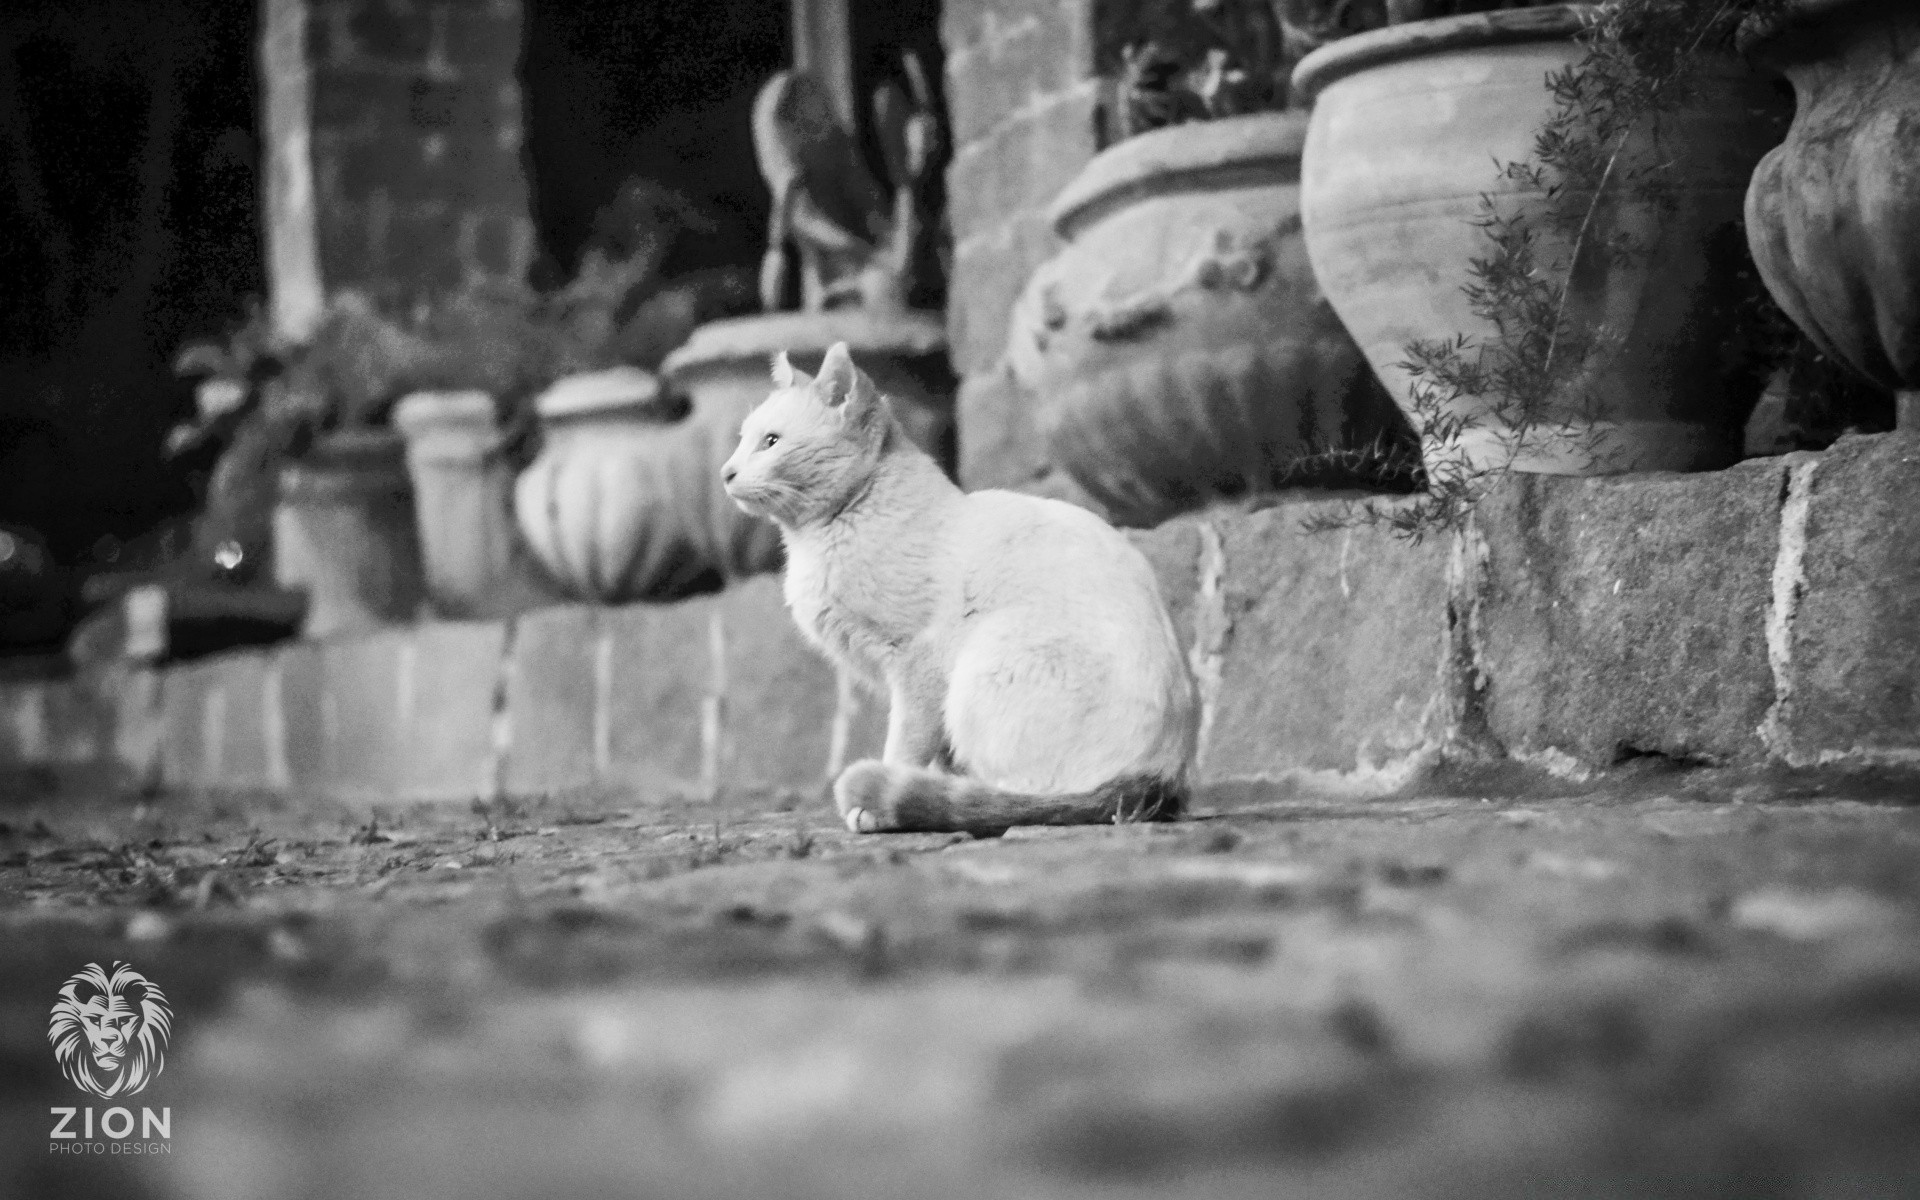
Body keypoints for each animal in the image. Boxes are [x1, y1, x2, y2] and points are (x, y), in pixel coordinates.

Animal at [721, 341, 1198, 833]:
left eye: (770, 442)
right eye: (742, 439)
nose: (725, 472)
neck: (819, 538)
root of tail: (1158, 777)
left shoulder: (918, 665)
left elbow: (906, 747)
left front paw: (881, 800)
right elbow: (935, 756)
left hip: (986, 662)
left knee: (1022, 799)